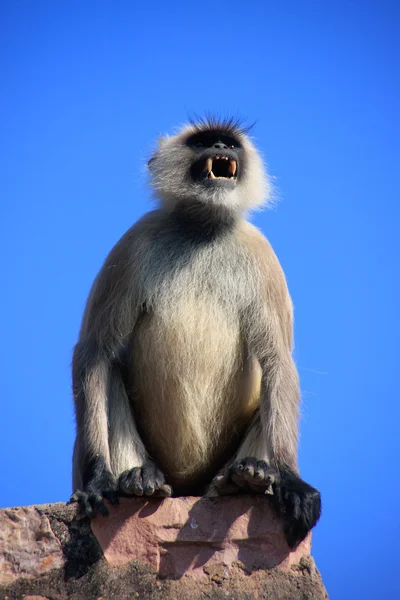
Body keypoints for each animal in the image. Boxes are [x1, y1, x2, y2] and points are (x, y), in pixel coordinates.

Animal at [70, 116, 322, 548]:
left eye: (229, 143)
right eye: (204, 141)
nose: (221, 146)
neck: (202, 230)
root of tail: (188, 482)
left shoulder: (261, 252)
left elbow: (277, 361)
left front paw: (291, 479)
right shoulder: (134, 241)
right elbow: (94, 352)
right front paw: (98, 477)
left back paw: (246, 477)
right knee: (109, 369)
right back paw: (139, 479)